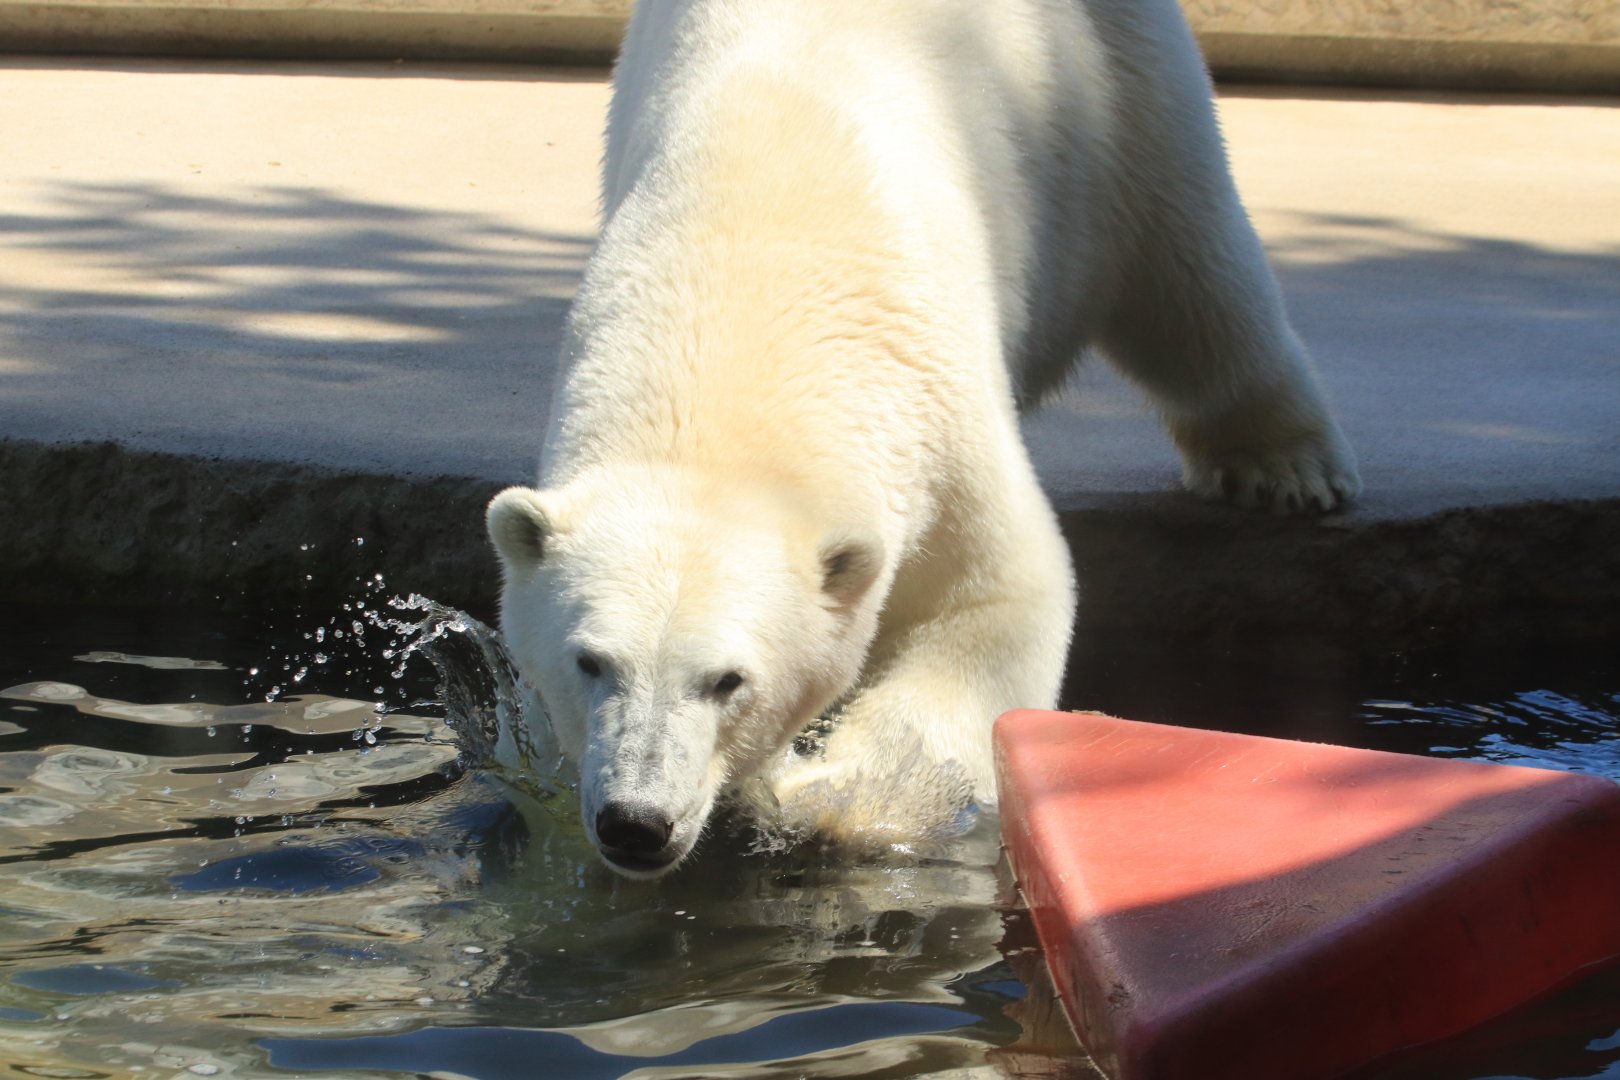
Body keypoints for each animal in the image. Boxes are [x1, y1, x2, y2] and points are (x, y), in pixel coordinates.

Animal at [487, 0, 1360, 878]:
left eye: (728, 680)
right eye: (590, 661)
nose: (638, 822)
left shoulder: (937, 416)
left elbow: (995, 598)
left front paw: (841, 797)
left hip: (1107, 80)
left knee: (1188, 260)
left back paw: (1285, 465)